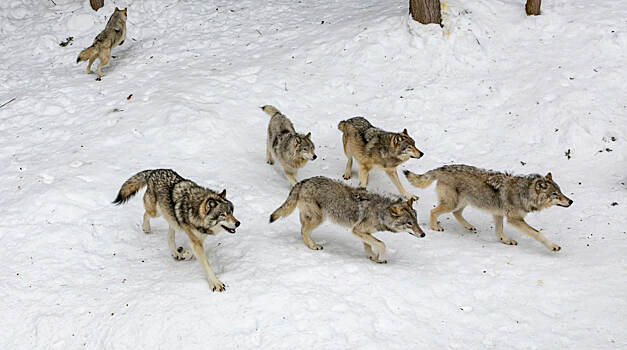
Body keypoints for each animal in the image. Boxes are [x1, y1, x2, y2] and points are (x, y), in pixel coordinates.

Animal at [268, 178, 424, 262]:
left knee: (303, 230)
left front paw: (372, 257)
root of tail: (303, 181)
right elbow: (382, 244)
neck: (380, 212)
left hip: (313, 218)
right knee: (303, 230)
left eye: (416, 221)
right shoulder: (357, 230)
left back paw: (311, 243)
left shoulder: (361, 231)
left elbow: (369, 245)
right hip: (318, 218)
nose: (423, 234)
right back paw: (313, 246)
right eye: (409, 223)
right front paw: (381, 258)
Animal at [408, 165, 576, 252]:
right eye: (555, 194)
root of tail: (442, 168)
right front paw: (553, 246)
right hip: (452, 203)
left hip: (462, 203)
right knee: (433, 211)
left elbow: (499, 231)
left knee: (457, 214)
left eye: (561, 192)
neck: (524, 193)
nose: (571, 201)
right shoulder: (515, 219)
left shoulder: (498, 214)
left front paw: (505, 240)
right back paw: (435, 227)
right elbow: (537, 233)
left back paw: (469, 226)